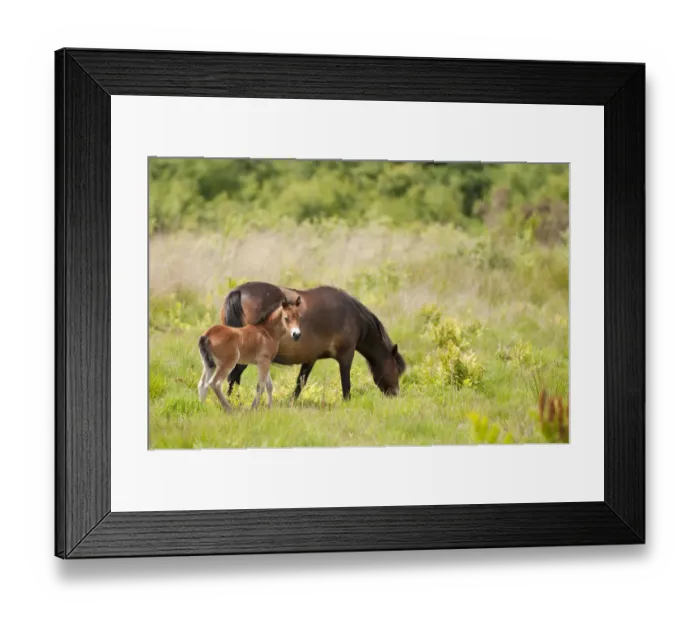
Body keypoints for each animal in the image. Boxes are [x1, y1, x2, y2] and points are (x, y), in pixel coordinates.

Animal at [220, 281, 406, 400]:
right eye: (397, 369)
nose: (396, 394)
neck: (354, 317)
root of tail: (239, 292)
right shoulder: (346, 356)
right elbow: (346, 383)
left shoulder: (310, 358)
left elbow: (300, 383)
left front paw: (291, 403)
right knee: (233, 376)